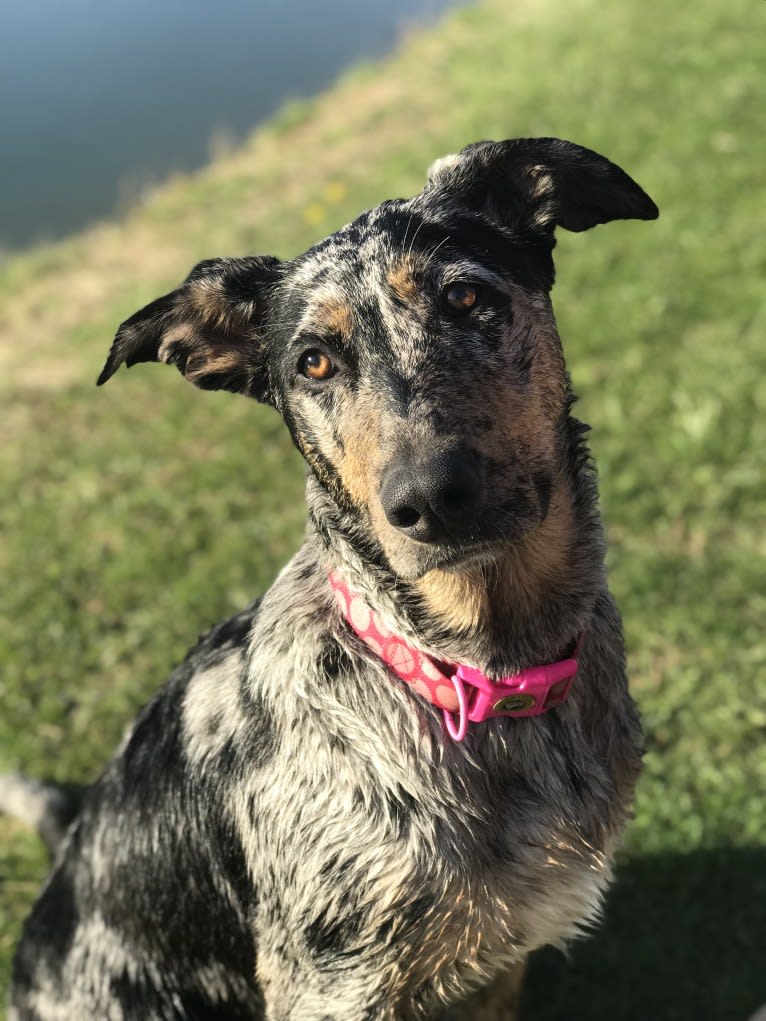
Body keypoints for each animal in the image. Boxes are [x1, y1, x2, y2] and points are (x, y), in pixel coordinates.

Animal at [6, 137, 657, 1021]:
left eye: (464, 297)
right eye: (312, 362)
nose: (430, 498)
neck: (474, 669)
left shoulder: (498, 968)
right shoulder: (334, 985)